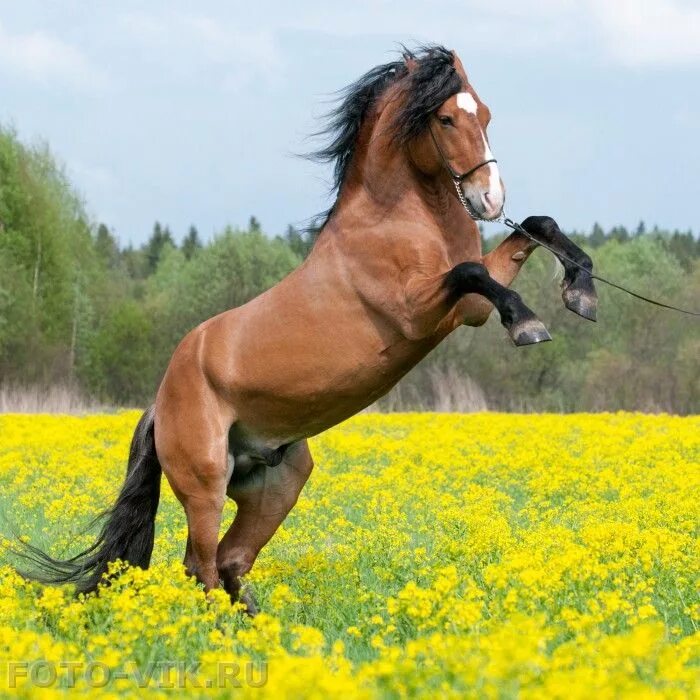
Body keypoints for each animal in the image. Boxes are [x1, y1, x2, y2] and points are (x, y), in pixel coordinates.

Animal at [17, 45, 596, 612]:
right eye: (447, 118)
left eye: (487, 114)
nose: (490, 200)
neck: (398, 218)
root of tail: (160, 404)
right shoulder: (417, 309)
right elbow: (472, 271)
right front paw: (529, 325)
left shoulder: (467, 309)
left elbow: (536, 228)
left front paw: (581, 293)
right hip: (205, 484)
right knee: (200, 566)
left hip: (277, 482)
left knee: (229, 561)